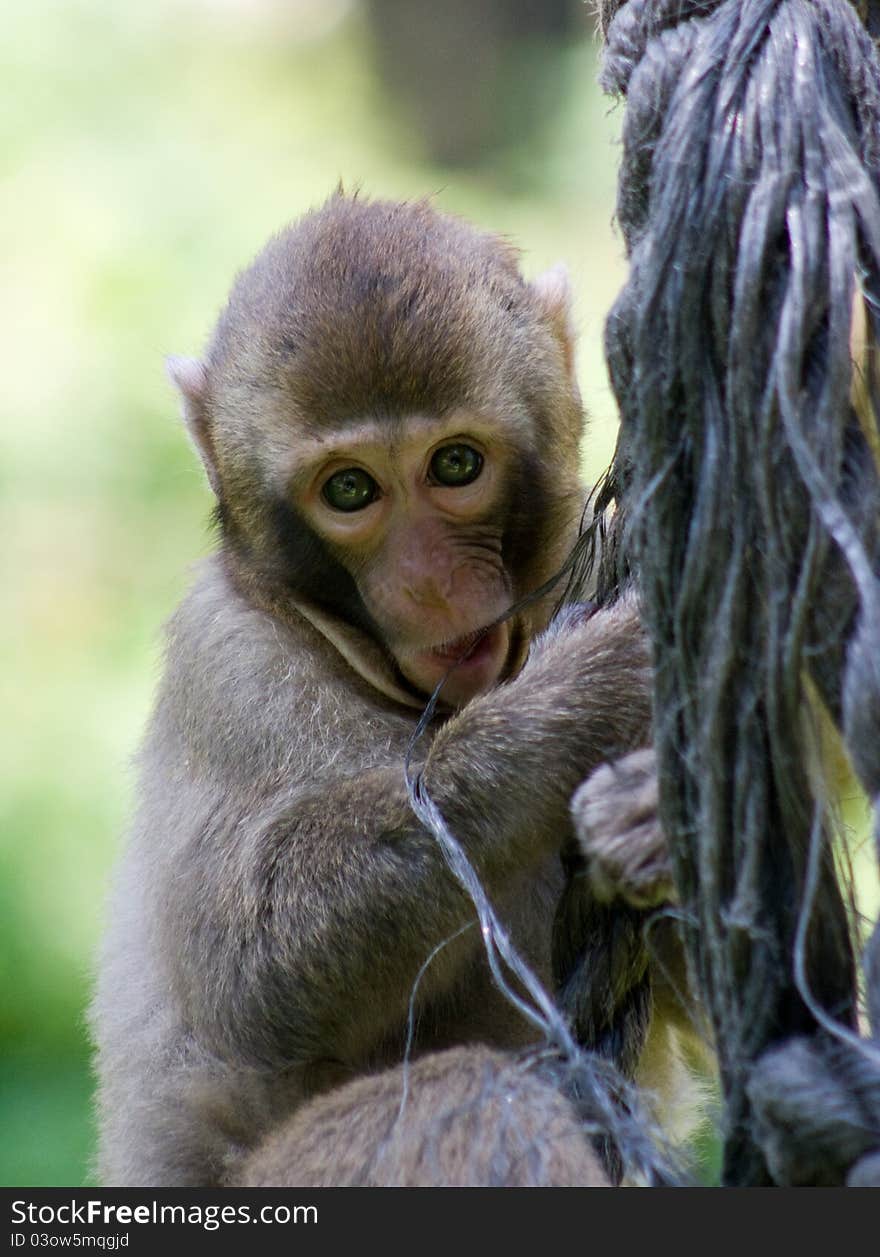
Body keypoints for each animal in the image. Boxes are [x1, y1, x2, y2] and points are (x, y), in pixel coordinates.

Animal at [93, 191, 663, 1181]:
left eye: (456, 465)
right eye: (351, 489)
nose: (430, 582)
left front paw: (651, 812)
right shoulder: (225, 662)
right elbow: (249, 971)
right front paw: (582, 706)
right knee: (475, 1096)